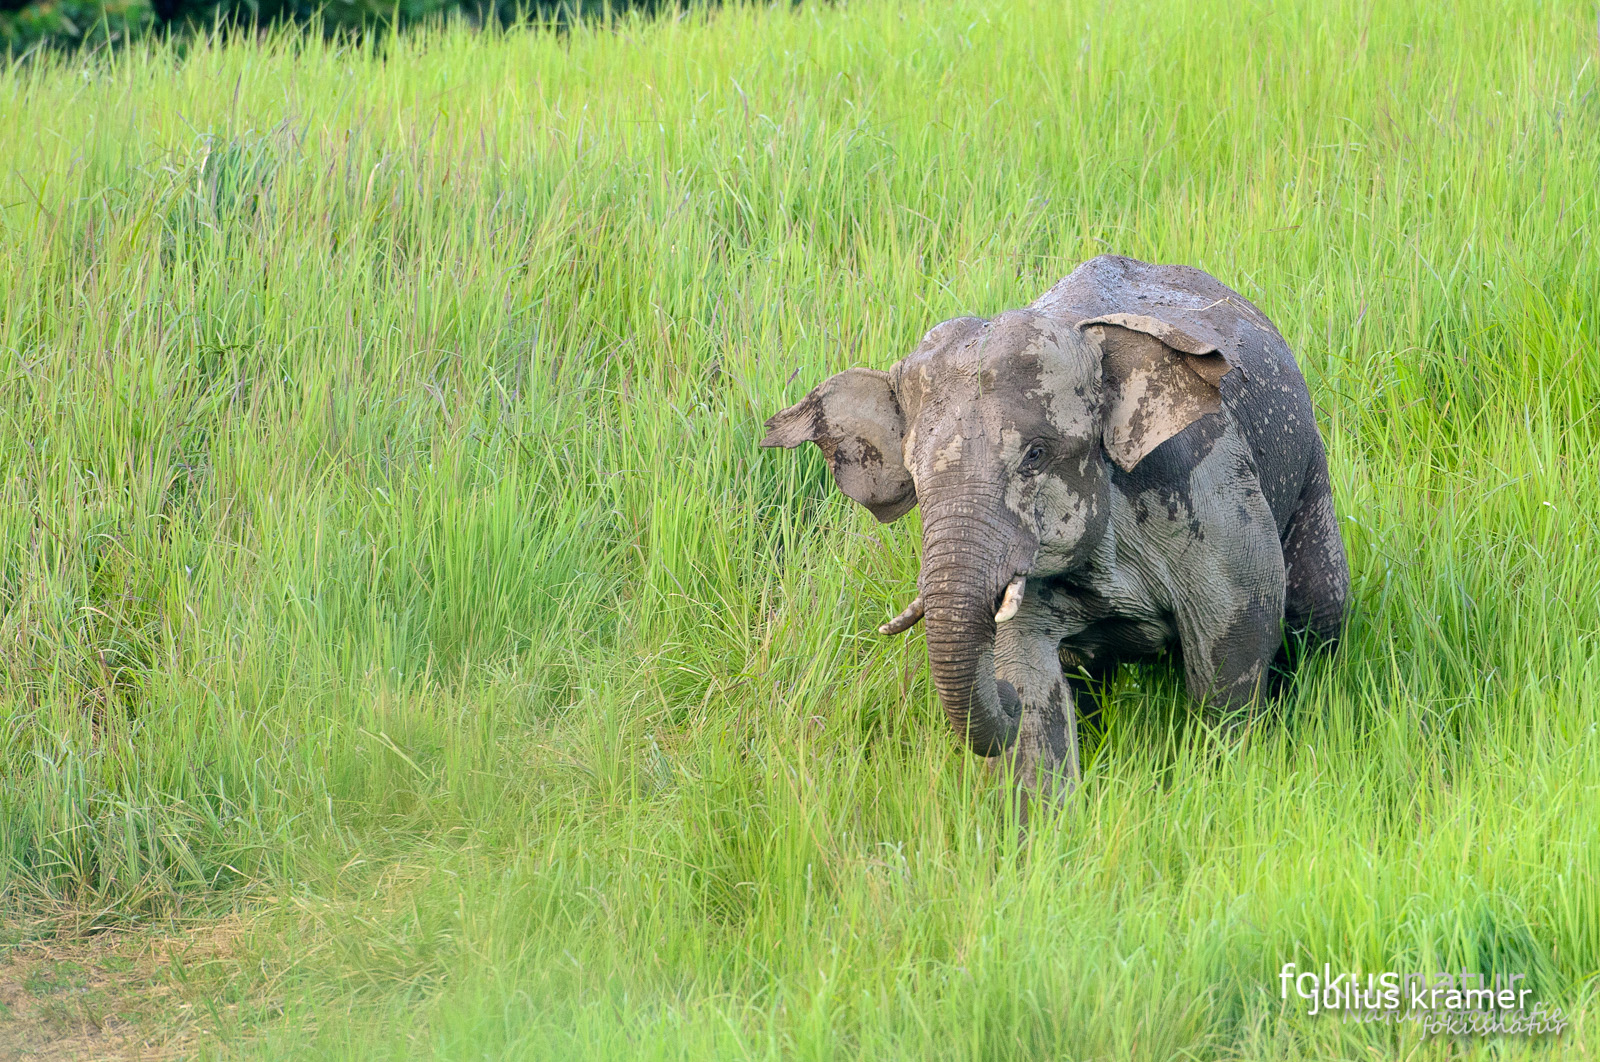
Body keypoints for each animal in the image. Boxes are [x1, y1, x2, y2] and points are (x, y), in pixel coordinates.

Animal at [761, 255, 1350, 786]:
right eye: (914, 473)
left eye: (1036, 455)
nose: (1000, 703)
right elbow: (1027, 673)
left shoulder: (1205, 485)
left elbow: (1237, 635)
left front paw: (1222, 777)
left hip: (1309, 469)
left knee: (1319, 610)